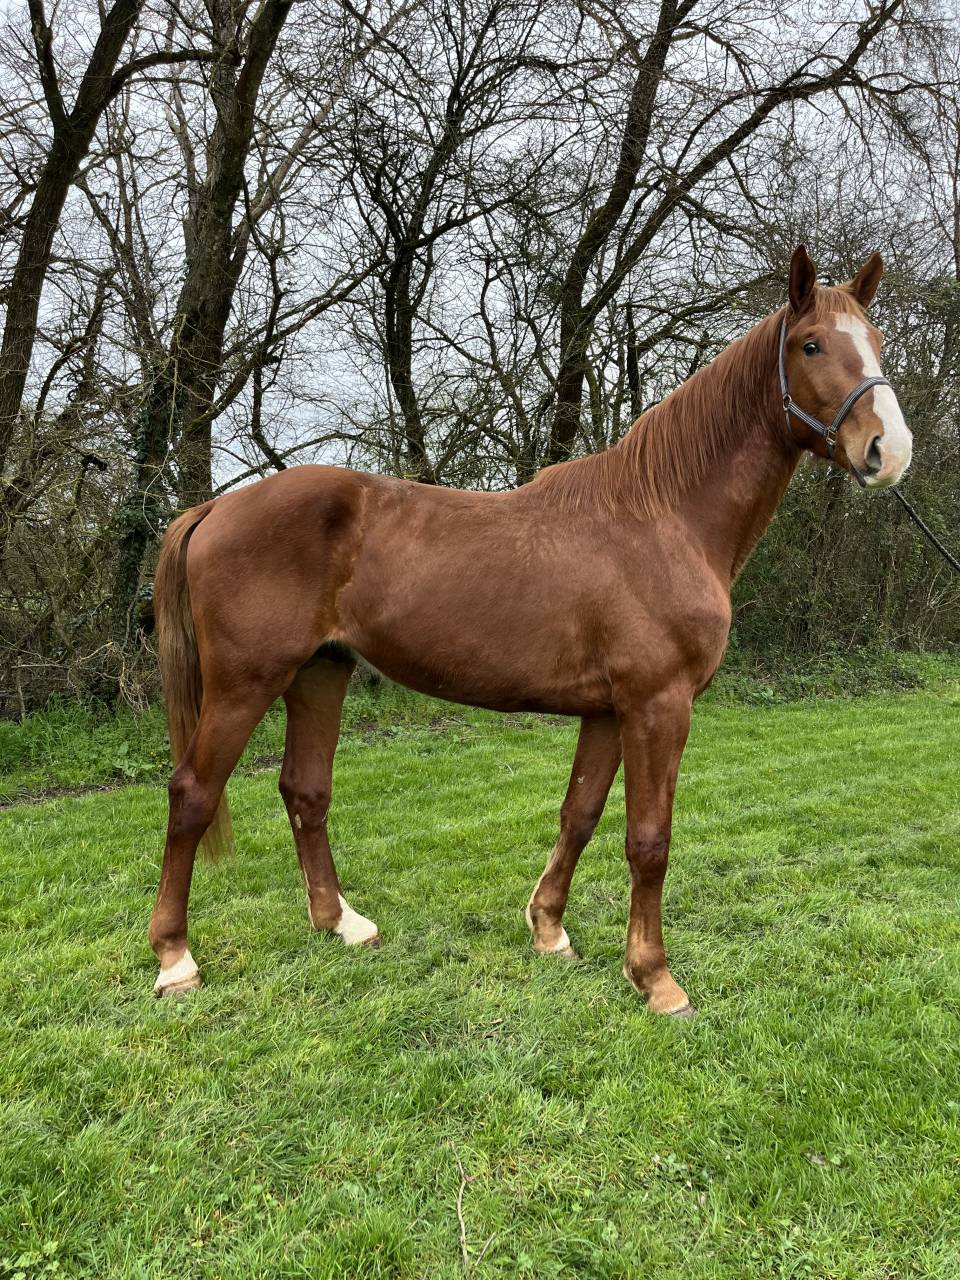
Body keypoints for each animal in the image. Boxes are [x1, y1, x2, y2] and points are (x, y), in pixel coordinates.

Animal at [149, 246, 912, 1014]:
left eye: (878, 341)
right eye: (811, 345)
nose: (891, 450)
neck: (664, 516)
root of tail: (216, 508)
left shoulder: (609, 711)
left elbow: (580, 814)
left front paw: (549, 929)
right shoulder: (658, 704)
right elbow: (649, 839)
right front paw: (656, 978)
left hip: (319, 672)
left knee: (305, 791)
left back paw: (343, 923)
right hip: (245, 684)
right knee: (193, 795)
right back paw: (176, 959)